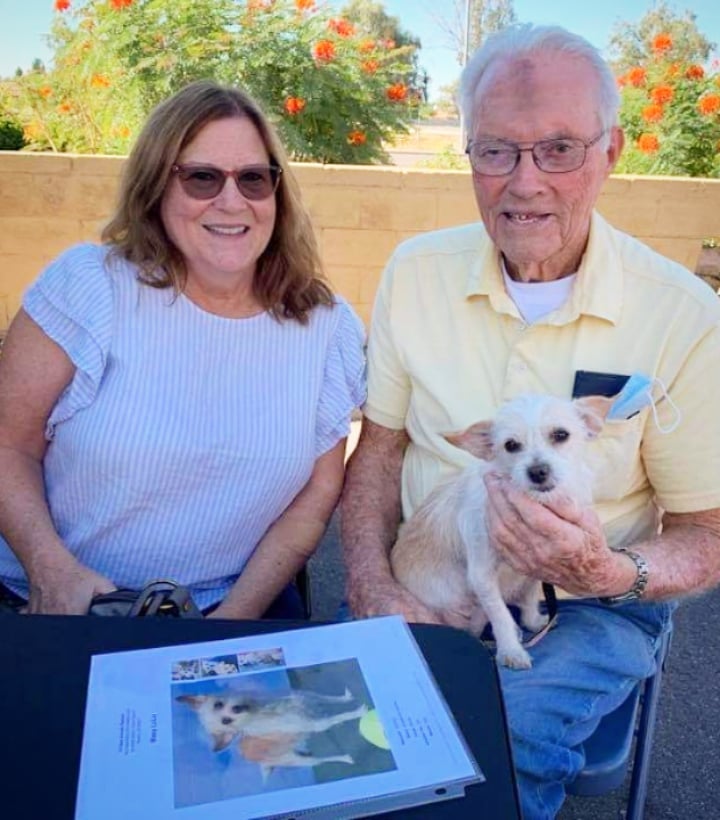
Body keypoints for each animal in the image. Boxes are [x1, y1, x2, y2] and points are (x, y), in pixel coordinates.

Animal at [390, 394, 612, 668]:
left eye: (561, 435)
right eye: (511, 445)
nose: (538, 472)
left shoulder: (538, 563)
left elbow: (529, 596)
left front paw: (533, 622)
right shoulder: (482, 574)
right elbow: (501, 615)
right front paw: (511, 650)